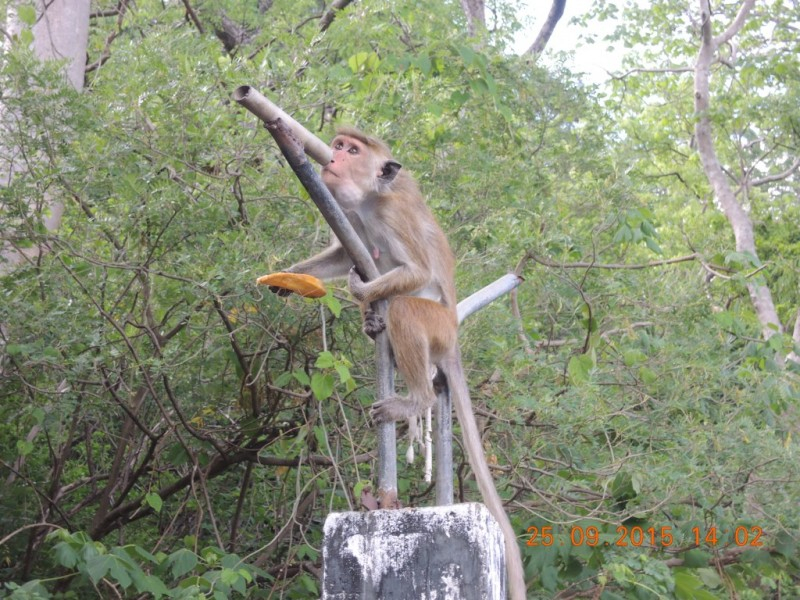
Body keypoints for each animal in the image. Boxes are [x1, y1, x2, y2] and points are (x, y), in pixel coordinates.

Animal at [272, 126, 528, 600]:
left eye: (351, 150)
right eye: (339, 145)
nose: (333, 157)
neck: (370, 199)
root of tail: (453, 334)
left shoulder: (392, 215)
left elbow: (416, 270)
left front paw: (360, 287)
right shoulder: (352, 215)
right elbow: (343, 254)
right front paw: (289, 275)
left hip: (436, 325)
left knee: (406, 309)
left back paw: (414, 394)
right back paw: (373, 320)